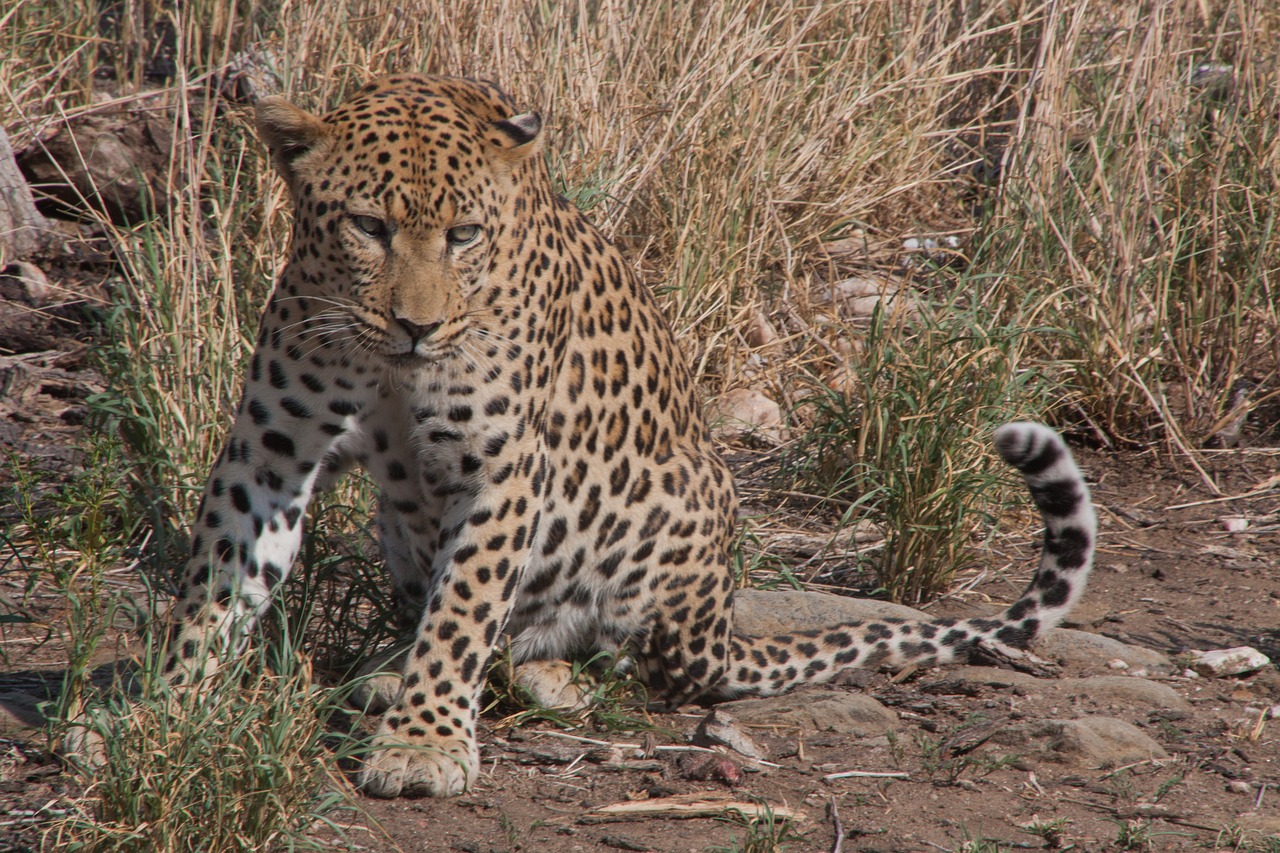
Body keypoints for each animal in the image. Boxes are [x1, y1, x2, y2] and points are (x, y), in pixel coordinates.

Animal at [102, 74, 1100, 799]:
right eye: (368, 226)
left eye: (465, 234)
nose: (419, 326)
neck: (387, 365)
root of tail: (719, 622)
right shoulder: (269, 454)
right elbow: (214, 584)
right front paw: (158, 713)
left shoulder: (503, 470)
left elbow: (465, 605)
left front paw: (425, 746)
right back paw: (387, 671)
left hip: (678, 498)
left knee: (618, 659)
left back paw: (533, 680)